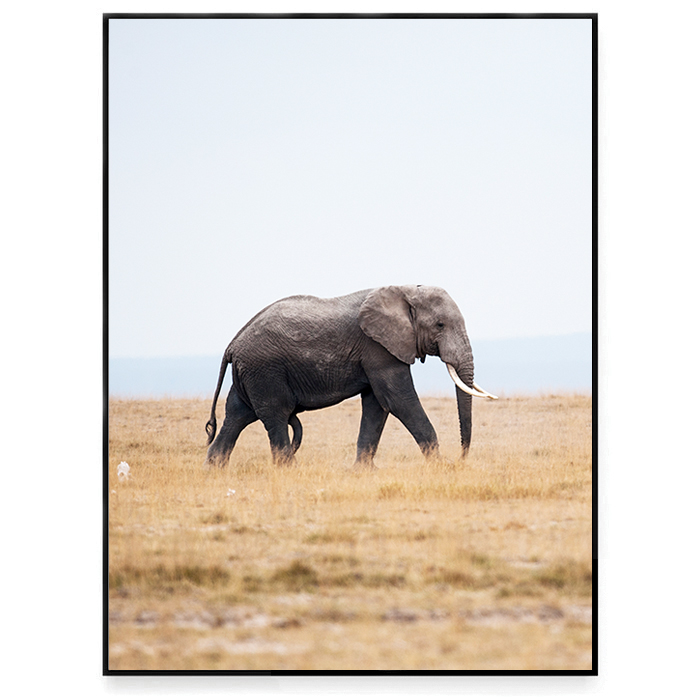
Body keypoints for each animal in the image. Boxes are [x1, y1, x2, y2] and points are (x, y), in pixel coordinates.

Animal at [204, 285, 497, 467]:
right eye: (440, 325)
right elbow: (398, 400)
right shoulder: (378, 347)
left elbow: (377, 405)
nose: (460, 458)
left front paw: (364, 471)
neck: (406, 290)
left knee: (237, 415)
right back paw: (290, 470)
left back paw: (214, 470)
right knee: (274, 414)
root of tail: (232, 344)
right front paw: (440, 466)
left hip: (250, 373)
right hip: (265, 371)